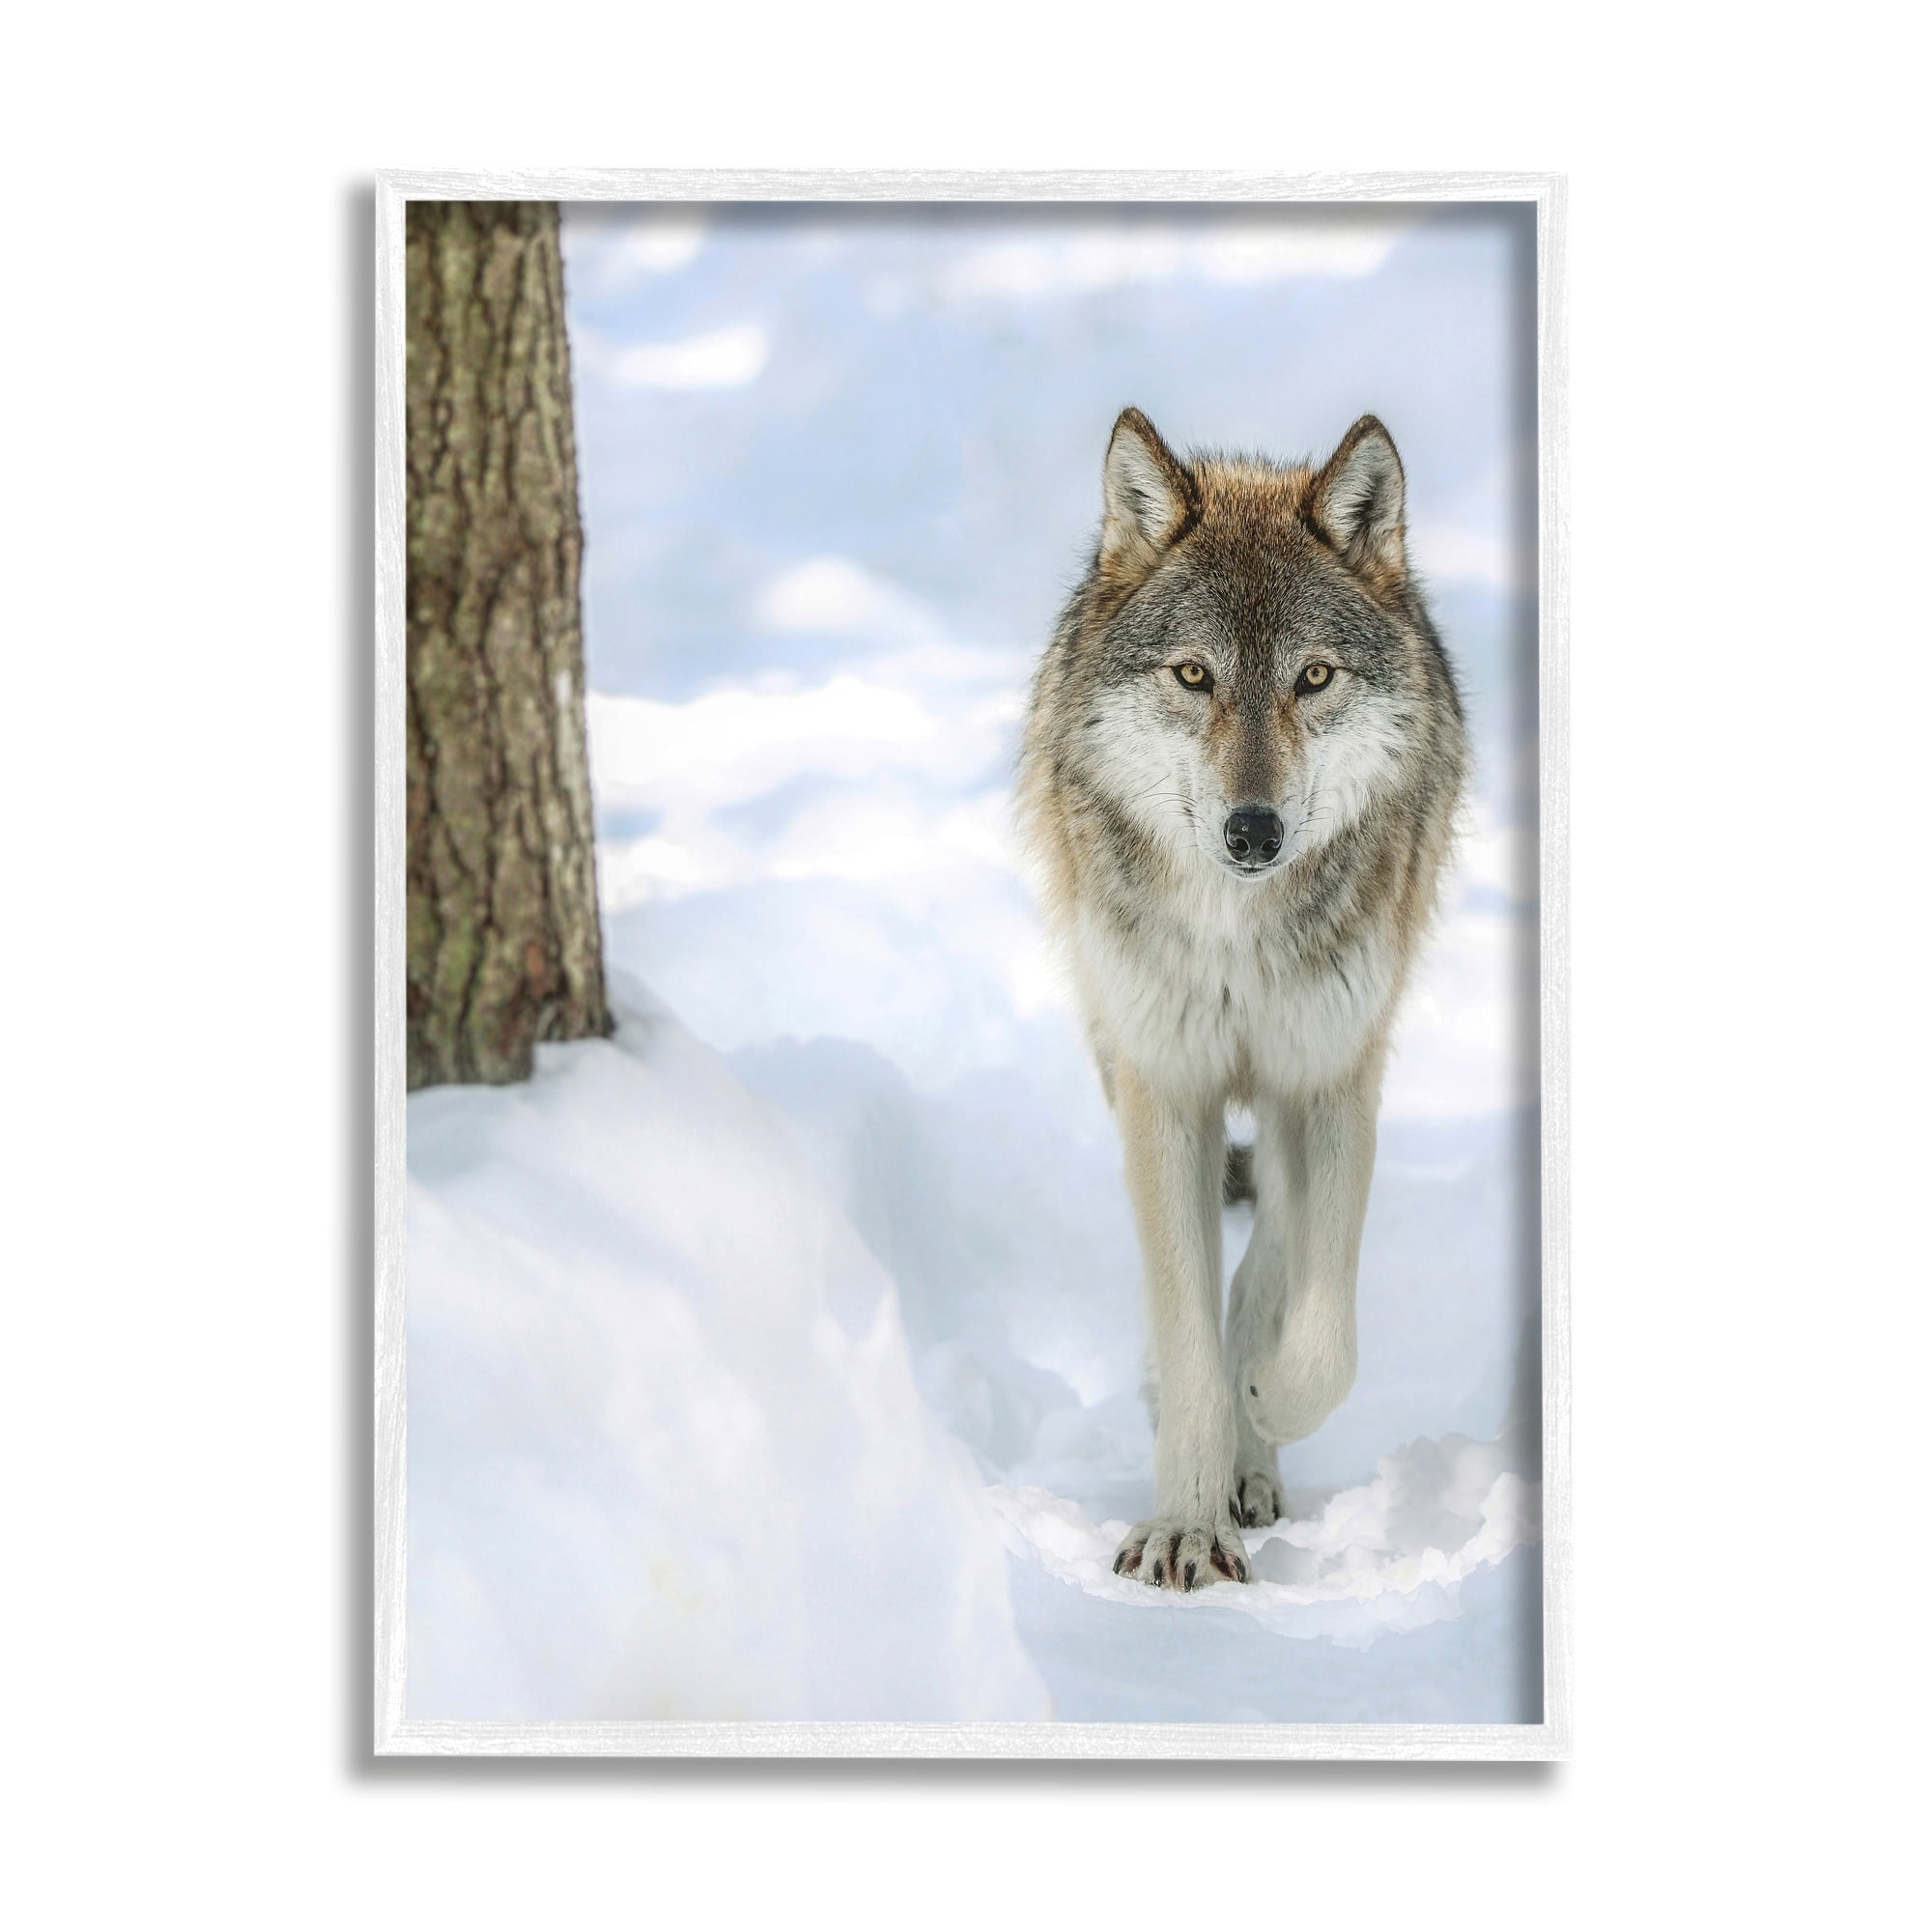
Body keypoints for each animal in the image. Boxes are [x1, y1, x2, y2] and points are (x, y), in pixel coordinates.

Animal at [1017, 408, 1467, 1590]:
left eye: (1311, 677)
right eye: (1192, 674)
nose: (1252, 831)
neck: (1238, 935)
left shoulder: (1332, 1076)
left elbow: (1319, 1332)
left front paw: (1261, 1402)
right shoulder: (1163, 1085)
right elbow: (1183, 1327)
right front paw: (1183, 1520)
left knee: (1273, 1242)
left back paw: (1253, 1446)